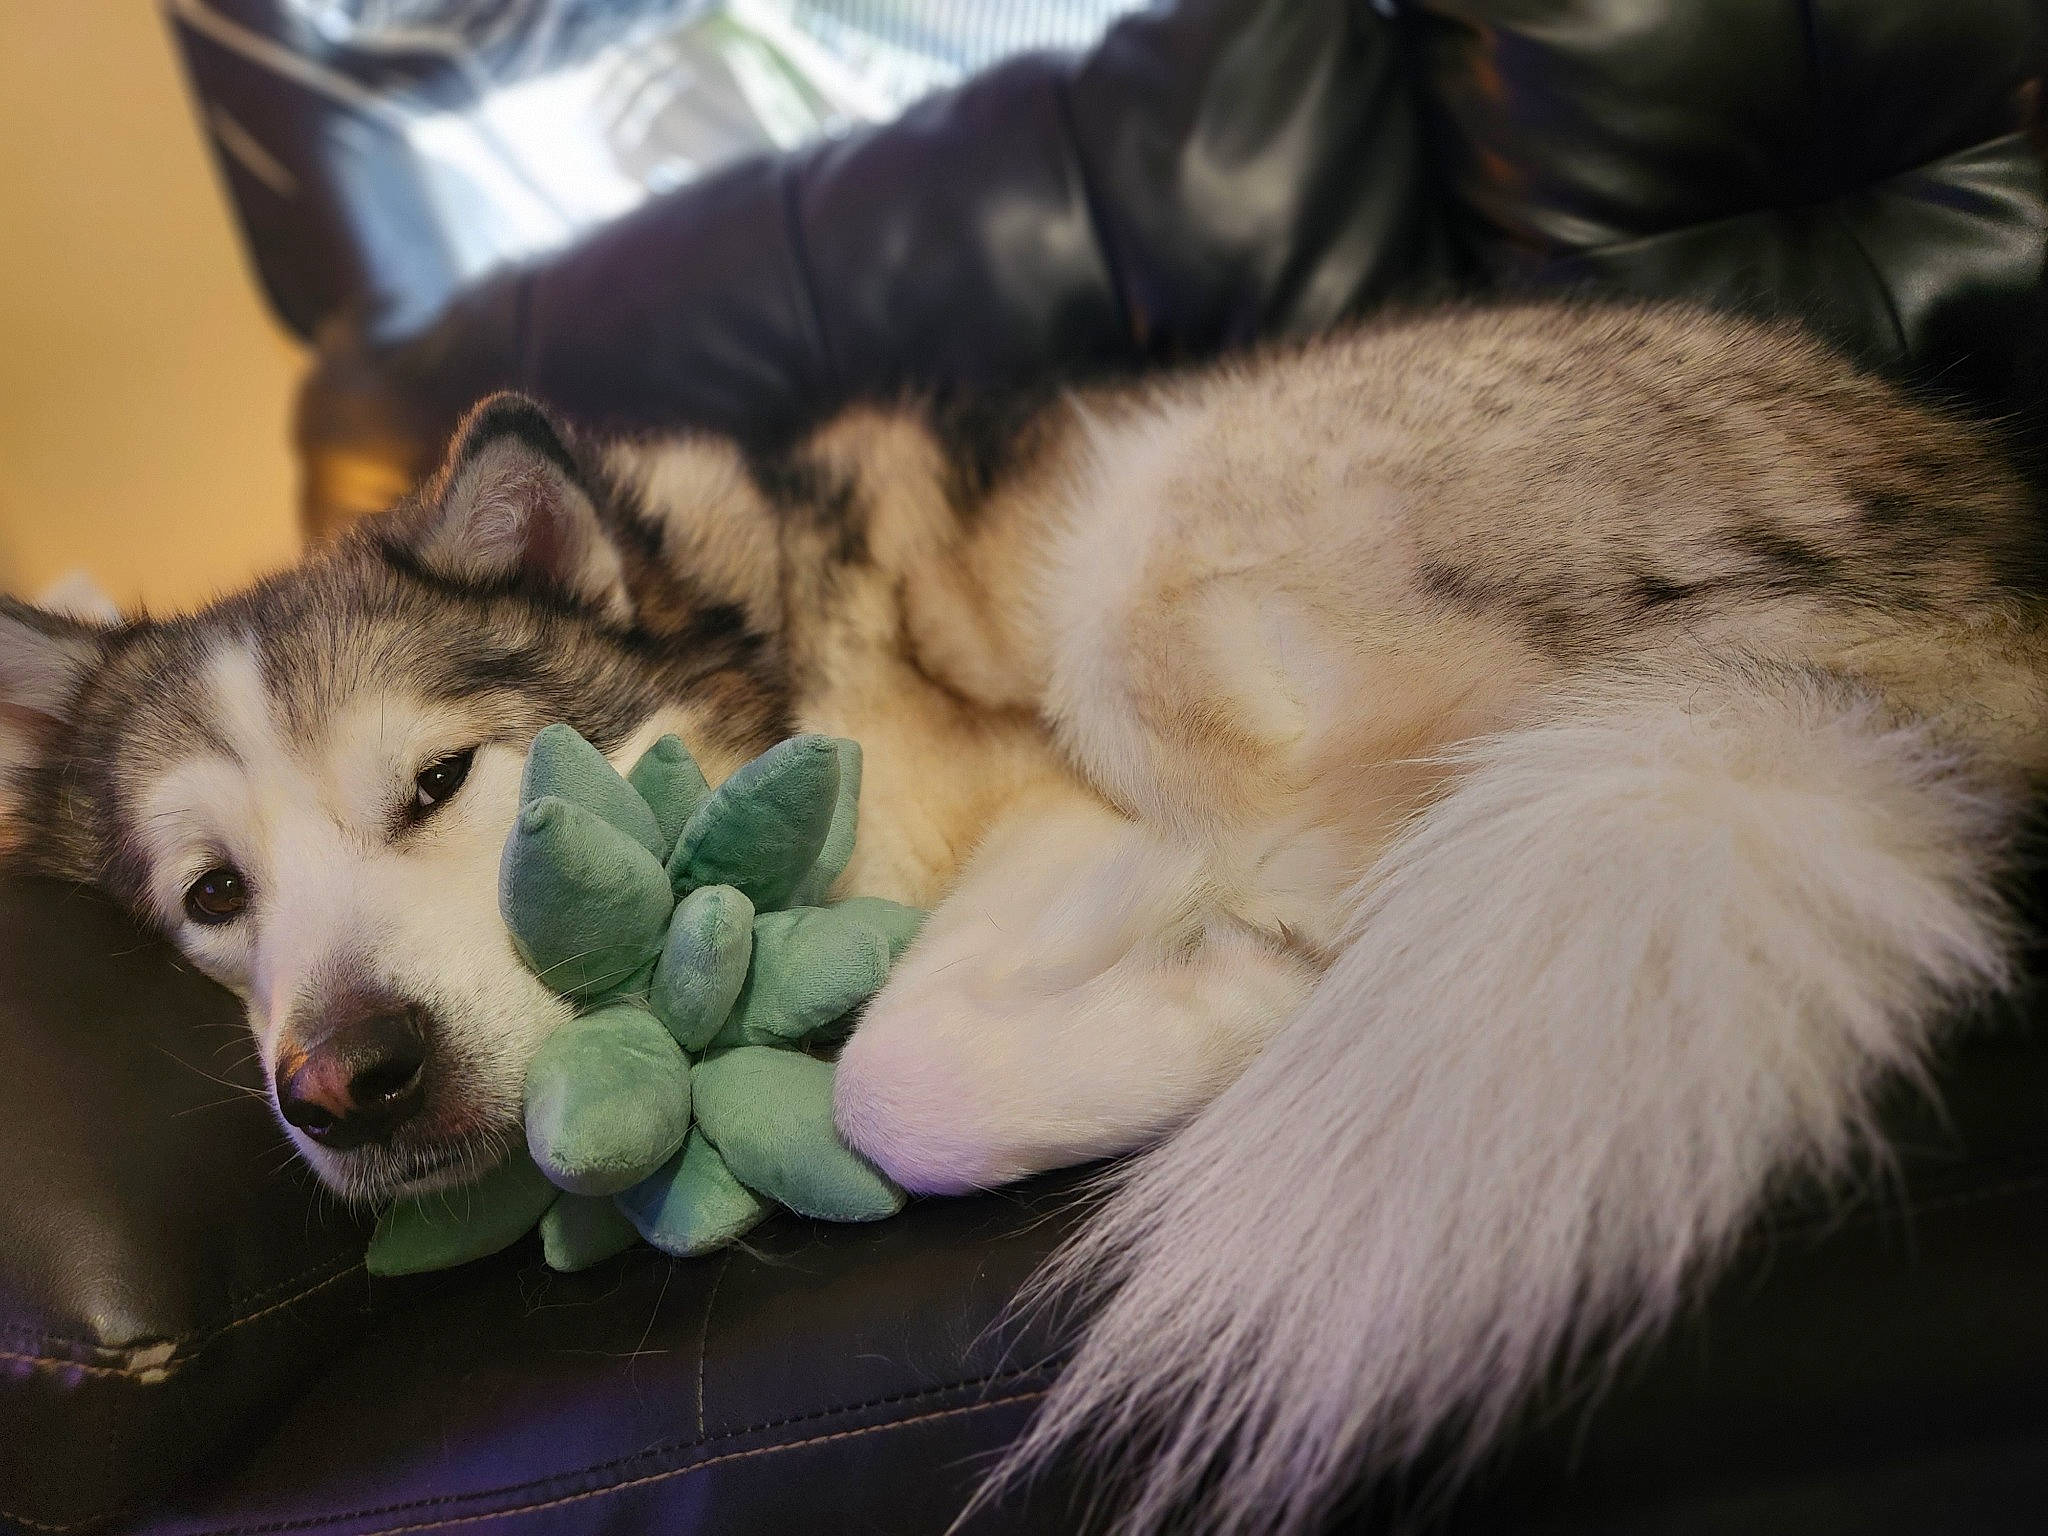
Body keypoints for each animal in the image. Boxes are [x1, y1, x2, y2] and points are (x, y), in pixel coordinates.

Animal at [4, 301, 2045, 1534]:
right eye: (211, 898)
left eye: (437, 787)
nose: (346, 1080)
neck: (770, 644)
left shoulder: (1026, 802)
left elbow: (904, 1076)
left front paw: (1223, 1000)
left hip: (1148, 536)